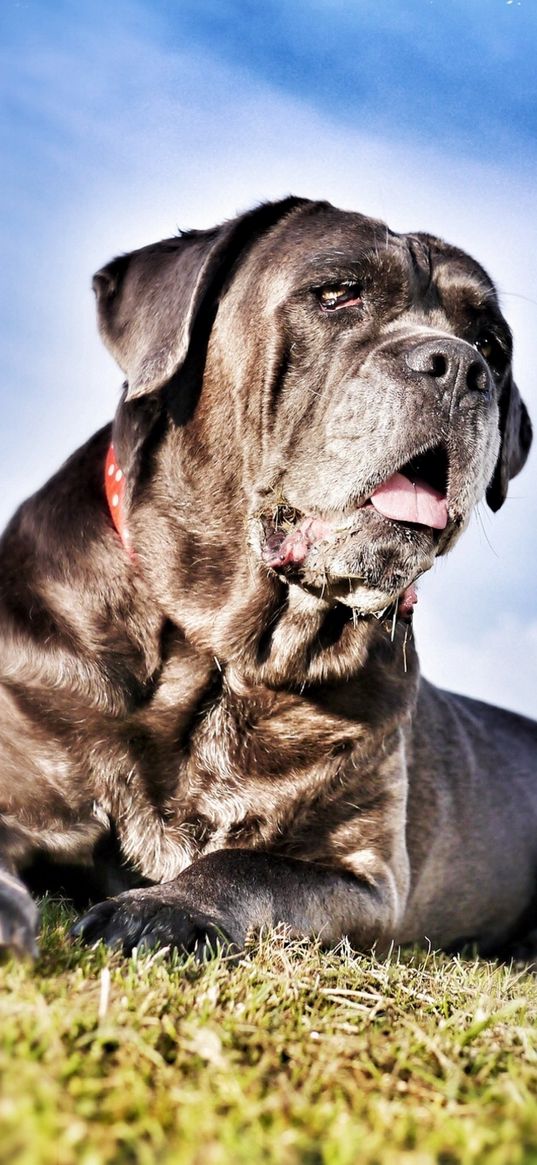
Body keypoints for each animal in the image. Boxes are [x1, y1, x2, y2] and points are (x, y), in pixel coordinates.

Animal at [1, 195, 535, 959]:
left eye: (491, 344)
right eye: (336, 294)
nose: (461, 367)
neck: (222, 654)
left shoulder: (361, 873)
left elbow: (242, 865)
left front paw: (160, 908)